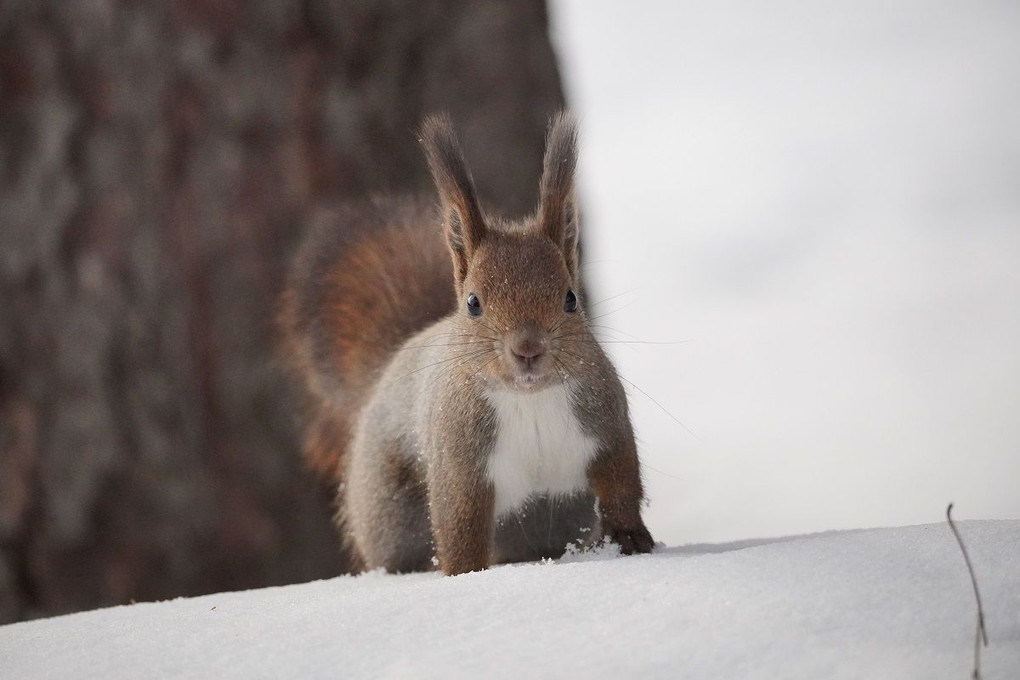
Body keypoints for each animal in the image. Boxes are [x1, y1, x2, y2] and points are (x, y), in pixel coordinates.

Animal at [281, 113, 652, 574]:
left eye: (571, 299)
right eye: (473, 303)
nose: (528, 349)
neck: (529, 399)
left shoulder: (606, 426)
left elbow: (621, 485)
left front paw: (631, 539)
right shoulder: (459, 464)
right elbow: (459, 526)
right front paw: (464, 575)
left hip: (560, 512)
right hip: (389, 509)